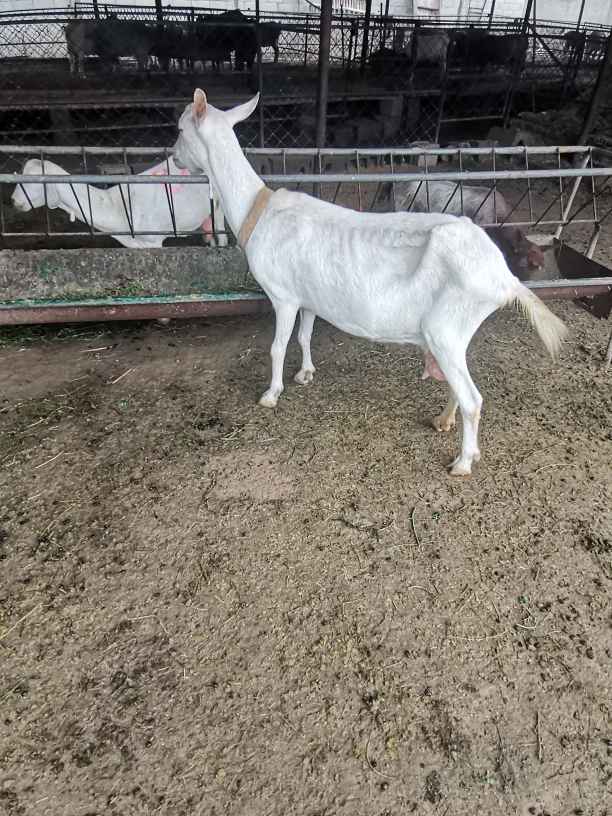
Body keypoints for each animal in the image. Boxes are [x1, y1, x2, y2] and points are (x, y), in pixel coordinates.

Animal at [170, 89, 568, 474]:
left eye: (180, 128)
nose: (173, 158)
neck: (258, 209)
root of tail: (504, 275)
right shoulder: (307, 297)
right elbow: (304, 335)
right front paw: (306, 373)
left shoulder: (282, 296)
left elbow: (277, 346)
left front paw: (271, 394)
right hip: (456, 334)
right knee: (460, 384)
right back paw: (443, 421)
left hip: (445, 328)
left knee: (473, 399)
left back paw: (463, 462)